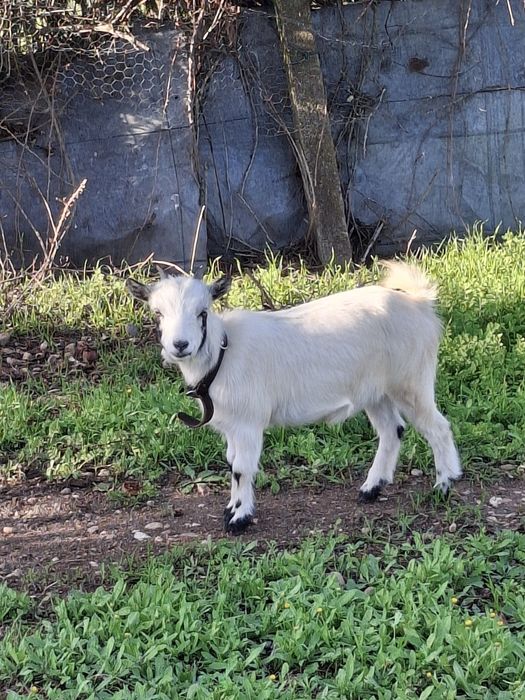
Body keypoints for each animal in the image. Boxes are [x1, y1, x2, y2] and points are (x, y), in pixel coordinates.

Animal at [126, 263, 461, 534]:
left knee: (438, 427)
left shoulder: (248, 422)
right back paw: (371, 489)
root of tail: (418, 302)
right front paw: (231, 508)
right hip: (376, 391)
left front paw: (239, 519)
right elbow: (231, 463)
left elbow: (241, 468)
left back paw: (444, 484)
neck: (221, 354)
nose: (180, 345)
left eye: (203, 312)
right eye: (157, 313)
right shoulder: (232, 425)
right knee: (393, 430)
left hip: (410, 380)